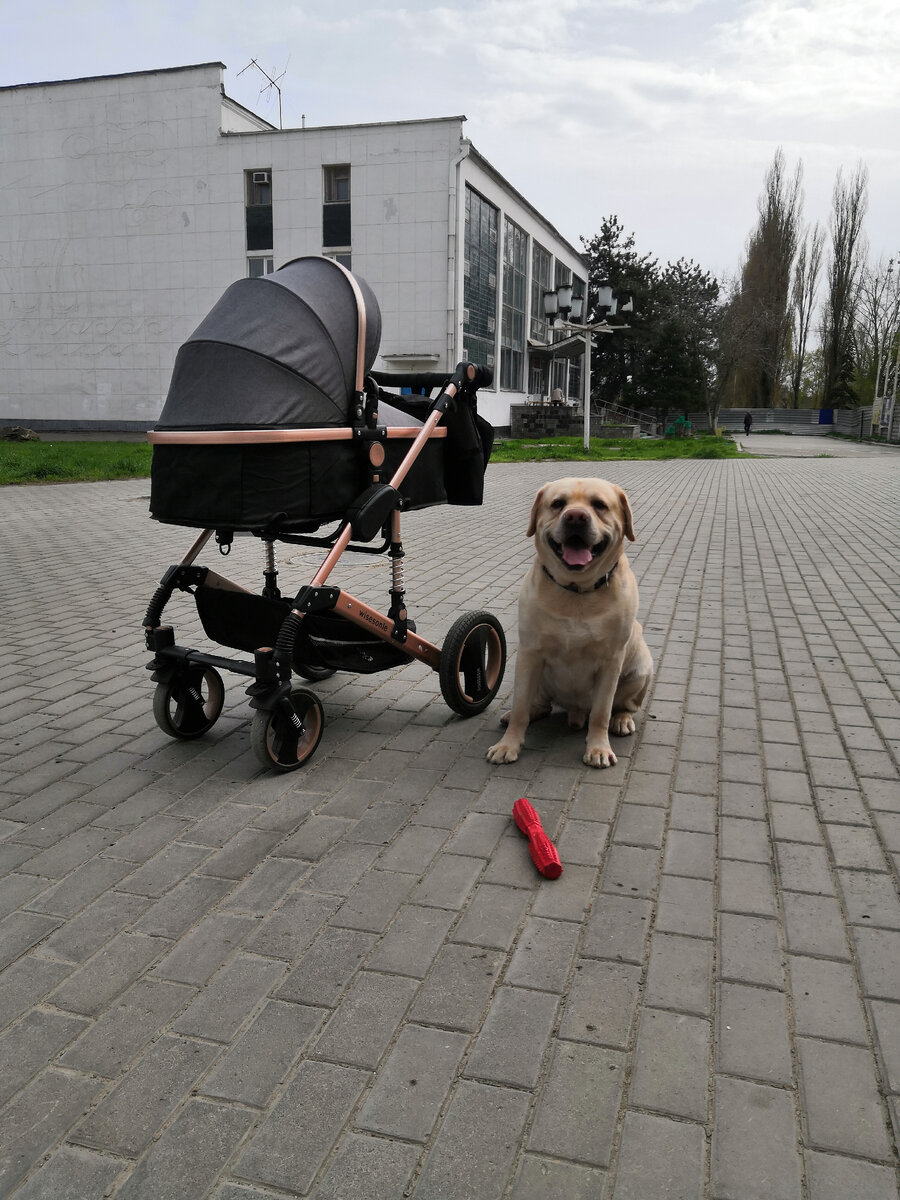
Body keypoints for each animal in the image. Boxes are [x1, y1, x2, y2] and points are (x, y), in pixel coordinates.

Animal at [489, 477, 652, 768]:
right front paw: (508, 744)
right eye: (558, 504)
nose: (576, 516)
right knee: (537, 704)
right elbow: (520, 707)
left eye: (599, 505)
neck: (577, 591)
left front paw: (598, 748)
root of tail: (576, 711)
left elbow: (601, 712)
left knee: (623, 706)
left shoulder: (611, 661)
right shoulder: (530, 653)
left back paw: (622, 720)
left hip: (641, 668)